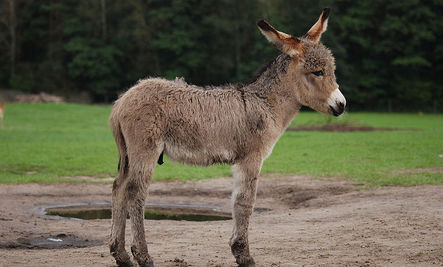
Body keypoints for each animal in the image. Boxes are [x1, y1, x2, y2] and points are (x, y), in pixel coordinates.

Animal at [109, 8, 346, 267]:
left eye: (331, 70)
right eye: (318, 72)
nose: (341, 105)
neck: (266, 104)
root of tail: (123, 100)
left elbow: (238, 201)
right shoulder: (251, 158)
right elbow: (245, 202)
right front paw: (244, 255)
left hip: (128, 153)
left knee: (119, 187)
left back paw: (121, 255)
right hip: (145, 149)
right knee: (136, 192)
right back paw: (142, 255)